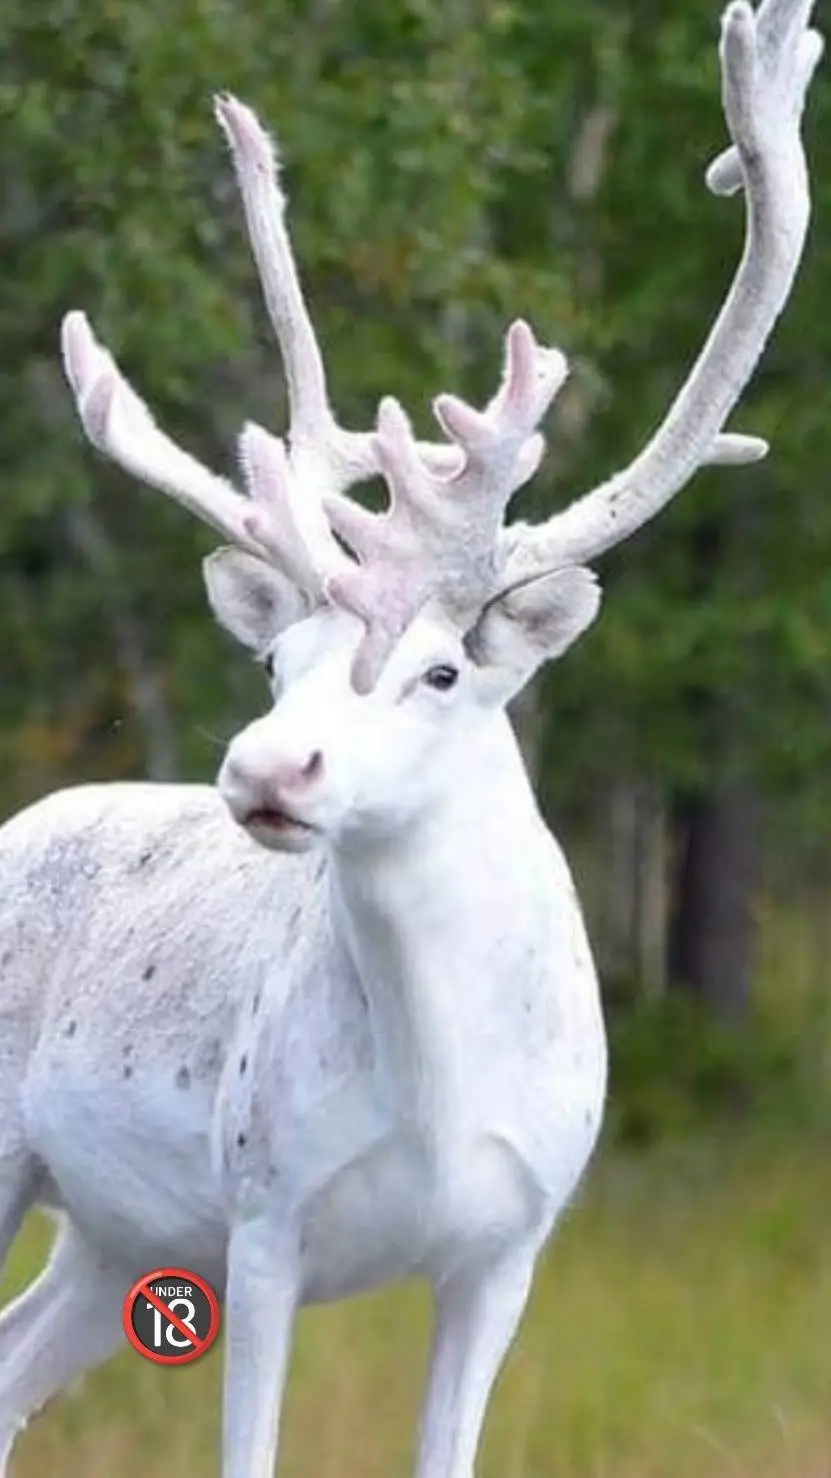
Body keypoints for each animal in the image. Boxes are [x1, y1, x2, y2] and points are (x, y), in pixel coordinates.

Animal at [0, 3, 821, 1476]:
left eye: (440, 669)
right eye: (275, 663)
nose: (267, 771)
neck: (436, 1094)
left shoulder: (508, 1246)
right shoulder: (262, 1212)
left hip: (112, 1236)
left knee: (10, 1359)